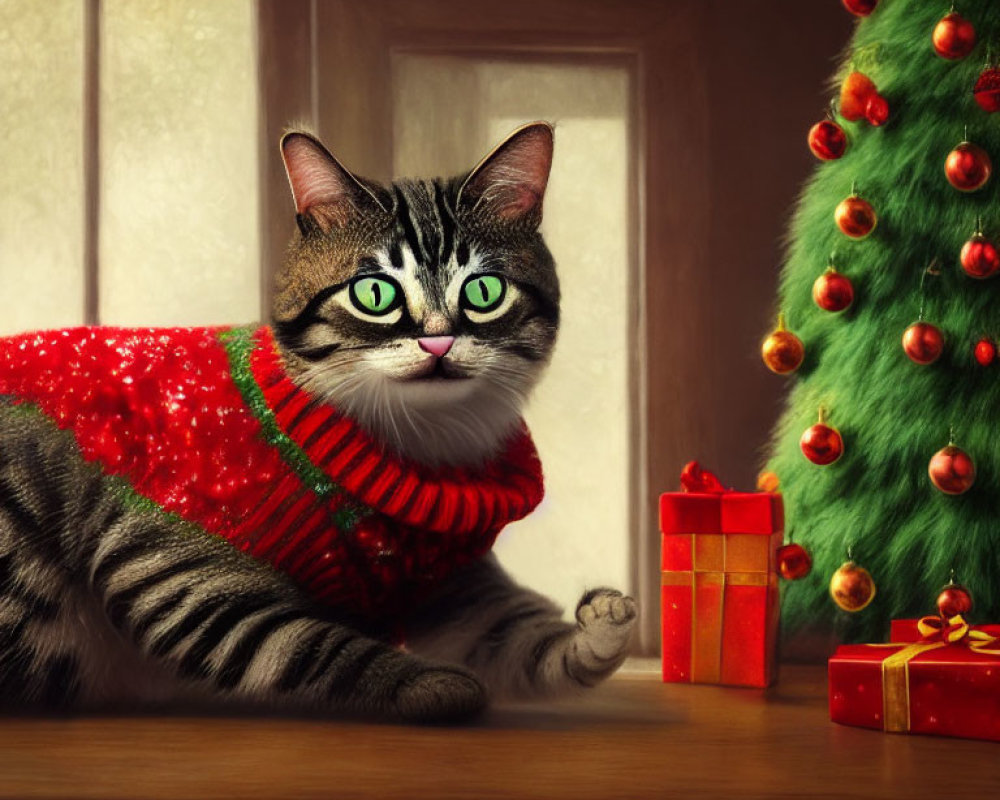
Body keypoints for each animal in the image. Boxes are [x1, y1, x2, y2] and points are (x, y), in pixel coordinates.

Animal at [0, 122, 636, 720]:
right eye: (375, 293)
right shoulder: (172, 568)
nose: (437, 342)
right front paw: (435, 685)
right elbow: (312, 647)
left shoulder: (456, 591)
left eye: (484, 291)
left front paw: (600, 626)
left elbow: (526, 639)